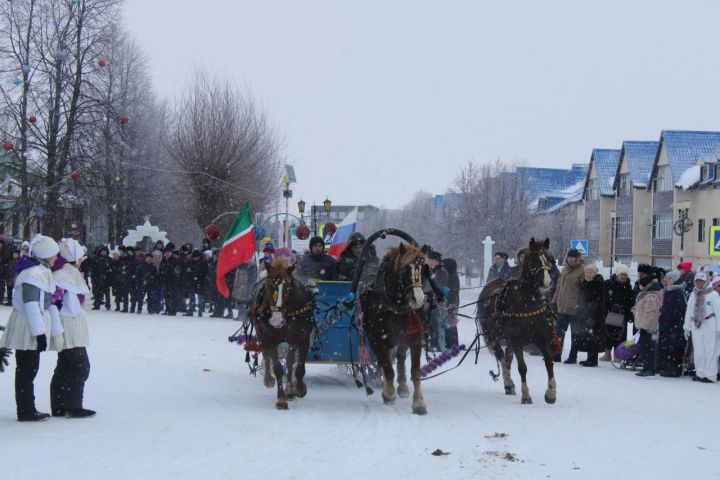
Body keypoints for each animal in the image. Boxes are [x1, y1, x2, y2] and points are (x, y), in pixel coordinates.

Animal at [249, 256, 314, 410]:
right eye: (269, 286)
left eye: (288, 288)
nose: (276, 320)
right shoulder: (270, 339)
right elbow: (278, 368)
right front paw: (281, 399)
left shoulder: (303, 338)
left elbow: (299, 366)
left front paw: (300, 389)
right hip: (261, 333)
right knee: (267, 356)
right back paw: (268, 379)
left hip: (292, 340)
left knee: (290, 361)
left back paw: (290, 389)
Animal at [360, 242, 438, 414]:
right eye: (404, 269)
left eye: (424, 268)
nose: (418, 299)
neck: (396, 305)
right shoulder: (377, 339)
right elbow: (387, 367)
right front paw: (389, 394)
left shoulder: (415, 337)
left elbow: (415, 370)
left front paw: (419, 403)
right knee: (384, 362)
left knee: (400, 358)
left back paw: (402, 387)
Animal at [476, 238, 560, 404]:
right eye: (533, 259)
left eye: (548, 258)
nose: (547, 282)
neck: (529, 302)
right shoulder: (516, 340)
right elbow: (522, 367)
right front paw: (526, 395)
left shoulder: (542, 338)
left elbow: (549, 362)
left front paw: (551, 393)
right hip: (493, 336)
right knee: (501, 356)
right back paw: (508, 383)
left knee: (507, 356)